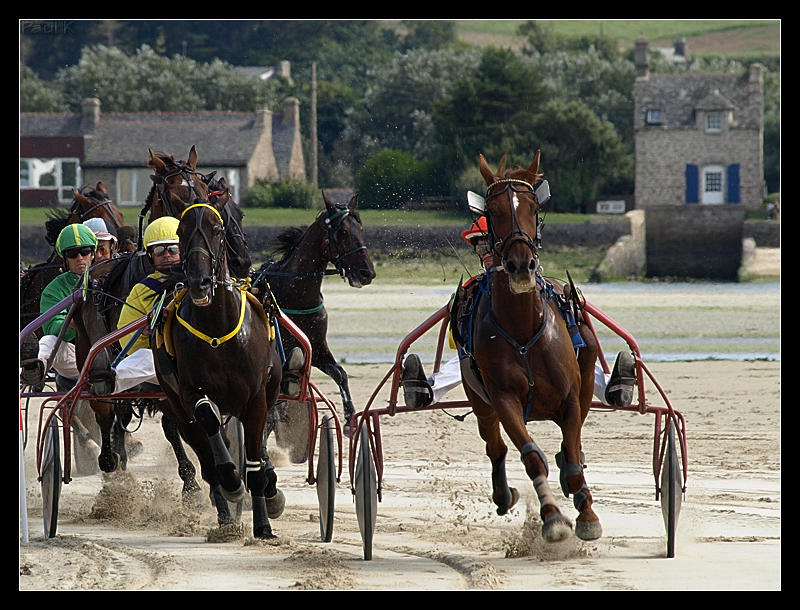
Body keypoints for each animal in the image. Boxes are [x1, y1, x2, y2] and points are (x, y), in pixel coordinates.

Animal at [252, 192, 376, 426]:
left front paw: (349, 416)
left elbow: (340, 373)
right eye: (343, 232)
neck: (297, 296)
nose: (367, 273)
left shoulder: (317, 348)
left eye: (362, 229)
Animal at [456, 152, 600, 540]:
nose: (521, 264)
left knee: (573, 443)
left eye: (533, 208)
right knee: (495, 446)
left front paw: (586, 511)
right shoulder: (504, 399)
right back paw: (504, 494)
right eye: (492, 211)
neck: (522, 332)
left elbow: (572, 449)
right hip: (479, 399)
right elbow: (531, 456)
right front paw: (552, 517)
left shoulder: (570, 396)